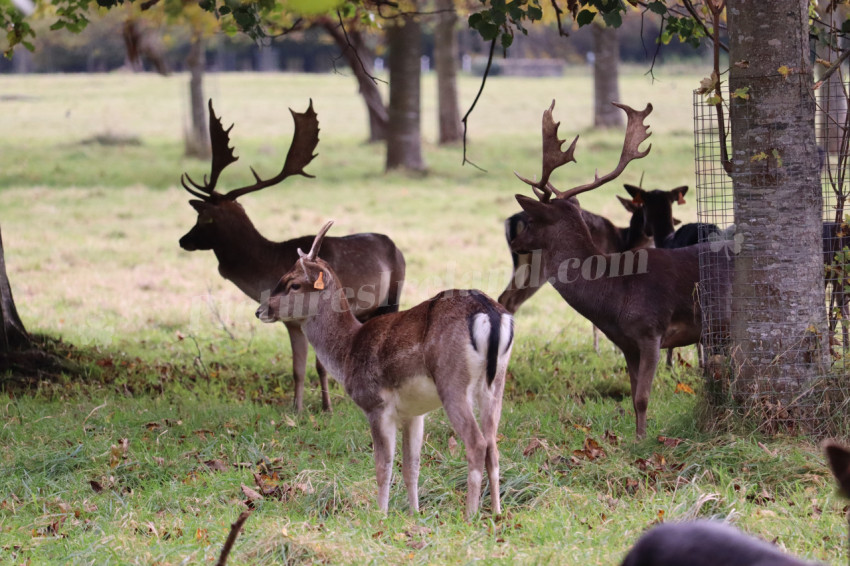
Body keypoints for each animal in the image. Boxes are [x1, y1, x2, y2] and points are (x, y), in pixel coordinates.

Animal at [178, 101, 404, 412]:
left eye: (204, 218)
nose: (183, 240)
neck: (267, 265)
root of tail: (395, 246)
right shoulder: (291, 323)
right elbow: (297, 368)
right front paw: (296, 409)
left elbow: (319, 366)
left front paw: (327, 408)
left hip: (393, 296)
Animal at [255, 223, 512, 524]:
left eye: (294, 283)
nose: (260, 309)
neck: (348, 350)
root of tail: (491, 314)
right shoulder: (414, 413)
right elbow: (411, 466)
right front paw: (414, 513)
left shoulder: (375, 404)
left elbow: (382, 466)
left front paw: (380, 514)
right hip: (495, 383)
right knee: (493, 445)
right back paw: (496, 512)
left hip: (453, 383)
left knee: (477, 443)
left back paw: (470, 515)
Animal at [506, 101, 732, 440]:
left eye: (532, 221)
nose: (515, 241)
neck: (616, 294)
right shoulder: (627, 344)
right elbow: (633, 393)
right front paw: (637, 439)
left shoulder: (652, 331)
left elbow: (642, 397)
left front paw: (644, 442)